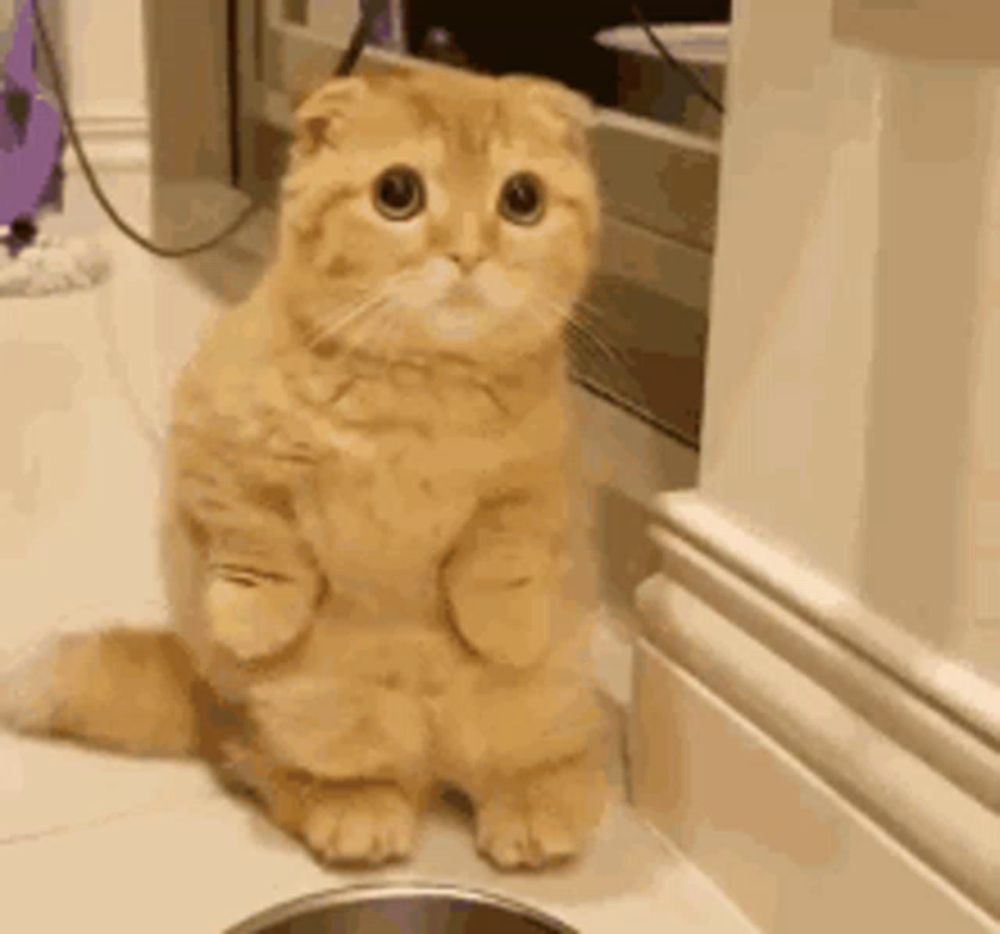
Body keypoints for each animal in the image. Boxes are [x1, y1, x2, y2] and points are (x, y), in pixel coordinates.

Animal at [0, 66, 608, 872]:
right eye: (397, 193)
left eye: (522, 199)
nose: (468, 253)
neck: (421, 392)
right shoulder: (212, 441)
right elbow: (257, 534)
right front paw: (255, 618)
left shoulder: (544, 473)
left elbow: (504, 551)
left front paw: (504, 626)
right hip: (305, 710)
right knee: (279, 769)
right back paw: (356, 811)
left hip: (542, 701)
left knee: (530, 764)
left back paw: (537, 808)